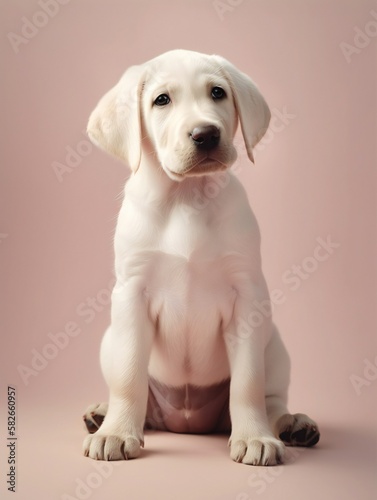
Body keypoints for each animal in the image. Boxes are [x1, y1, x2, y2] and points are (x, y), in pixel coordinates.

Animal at [82, 49, 318, 464]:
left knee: (272, 399)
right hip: (110, 340)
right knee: (136, 394)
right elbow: (128, 378)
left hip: (275, 347)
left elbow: (247, 383)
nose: (206, 134)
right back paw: (102, 415)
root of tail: (187, 421)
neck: (186, 196)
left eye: (217, 92)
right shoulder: (131, 294)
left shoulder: (246, 297)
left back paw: (293, 424)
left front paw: (254, 437)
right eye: (162, 100)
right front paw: (116, 432)